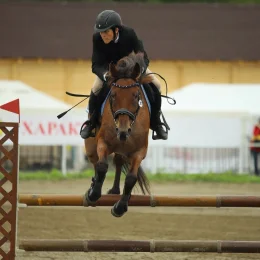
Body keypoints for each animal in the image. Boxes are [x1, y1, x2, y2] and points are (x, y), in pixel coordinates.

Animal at [84, 52, 151, 217]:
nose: (122, 131)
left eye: (136, 95)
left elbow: (131, 178)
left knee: (119, 162)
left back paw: (115, 191)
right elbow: (102, 166)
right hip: (90, 147)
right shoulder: (103, 142)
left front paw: (120, 207)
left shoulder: (140, 151)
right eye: (113, 95)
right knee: (96, 162)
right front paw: (93, 194)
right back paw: (94, 187)